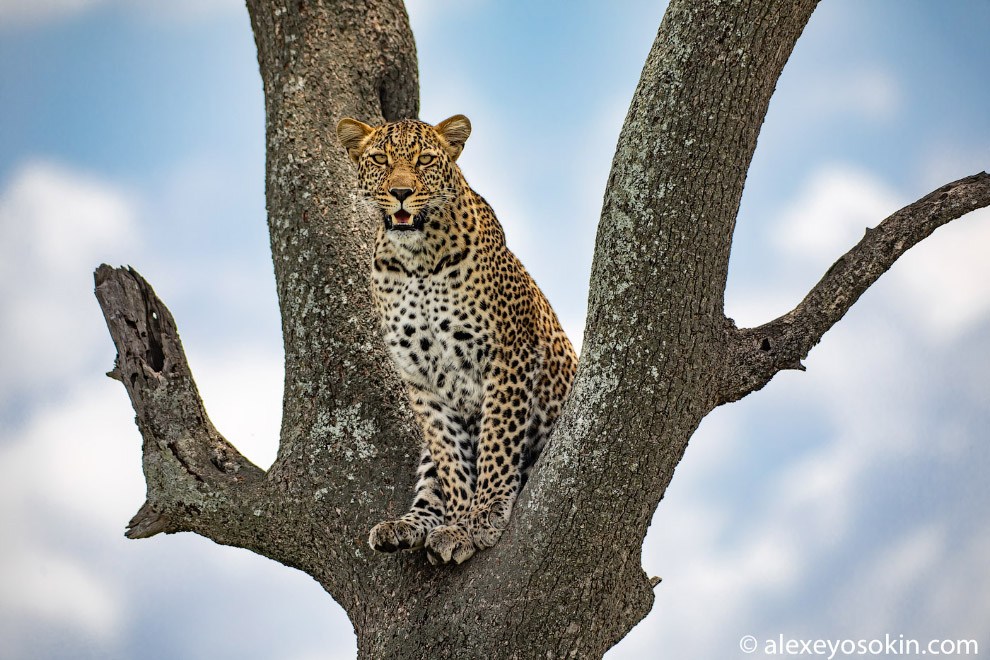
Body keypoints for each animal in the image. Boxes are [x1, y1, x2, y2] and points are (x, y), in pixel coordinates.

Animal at [338, 113, 576, 564]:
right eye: (379, 159)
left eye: (425, 159)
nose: (400, 193)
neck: (416, 261)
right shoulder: (420, 377)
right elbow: (449, 458)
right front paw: (460, 520)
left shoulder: (508, 355)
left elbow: (497, 442)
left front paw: (479, 518)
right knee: (432, 477)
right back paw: (406, 526)